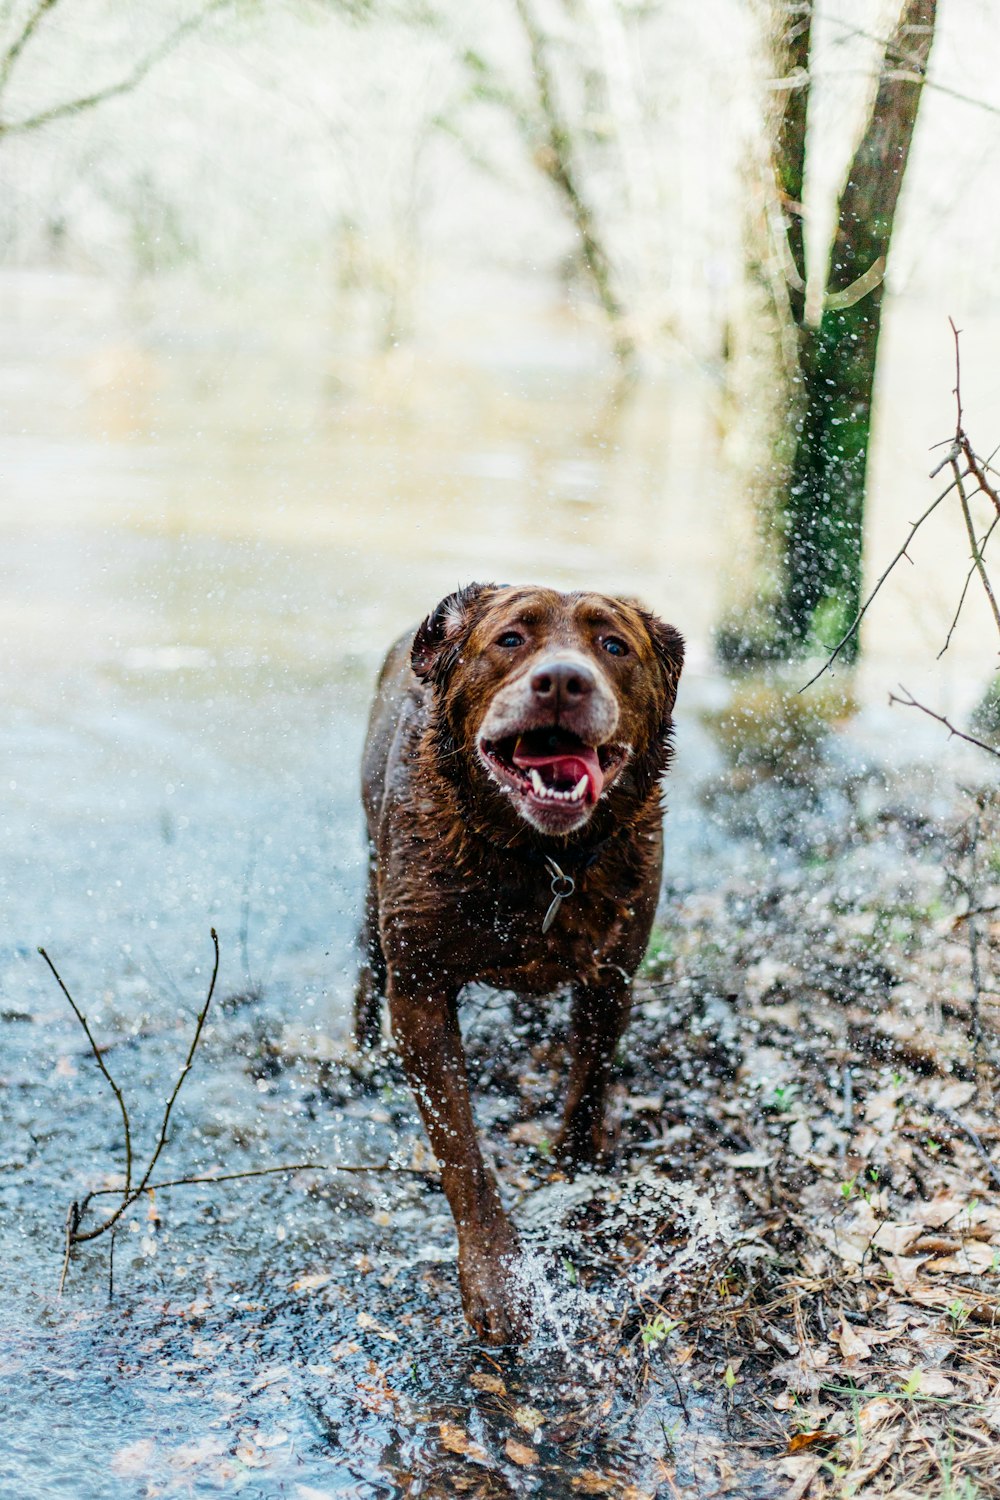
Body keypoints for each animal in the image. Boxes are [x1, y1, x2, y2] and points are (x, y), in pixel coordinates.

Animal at [355, 579, 683, 1344]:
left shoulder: (614, 973)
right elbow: (462, 1152)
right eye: (511, 638)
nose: (563, 680)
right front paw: (498, 1280)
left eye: (614, 645)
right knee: (365, 967)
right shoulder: (419, 989)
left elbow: (588, 1078)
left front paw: (579, 1166)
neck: (540, 859)